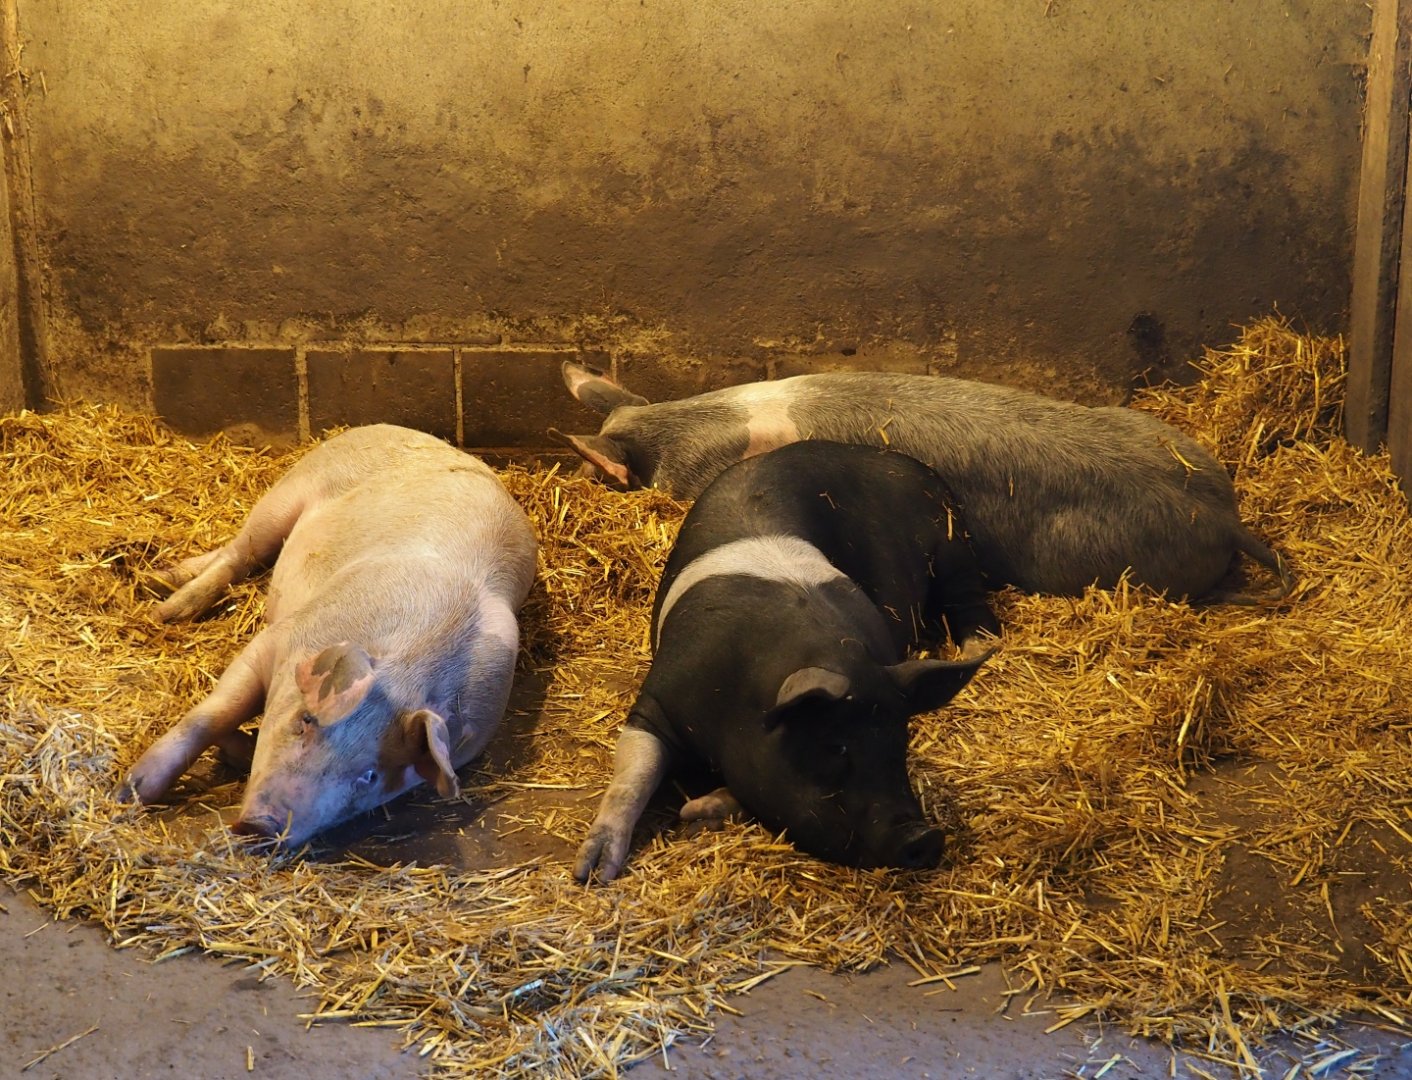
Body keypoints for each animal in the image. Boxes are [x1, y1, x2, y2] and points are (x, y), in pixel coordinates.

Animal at [123, 424, 537, 848]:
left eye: (369, 775)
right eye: (305, 720)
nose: (264, 826)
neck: (412, 661)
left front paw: (237, 751)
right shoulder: (277, 639)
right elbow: (214, 712)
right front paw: (131, 792)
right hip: (285, 495)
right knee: (239, 553)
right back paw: (161, 600)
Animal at [573, 440, 998, 883]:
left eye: (901, 741)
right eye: (835, 747)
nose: (925, 837)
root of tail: (903, 460)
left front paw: (696, 810)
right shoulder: (656, 701)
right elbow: (632, 775)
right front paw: (592, 872)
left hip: (952, 545)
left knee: (973, 608)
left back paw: (981, 652)